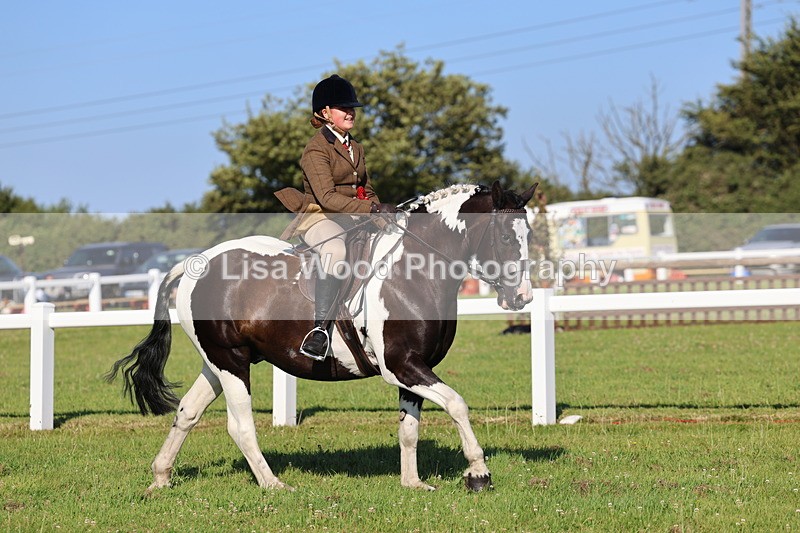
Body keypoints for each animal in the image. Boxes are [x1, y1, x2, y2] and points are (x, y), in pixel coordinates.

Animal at [108, 180, 538, 493]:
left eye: (529, 233)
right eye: (504, 237)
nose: (522, 297)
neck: (415, 270)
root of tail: (194, 264)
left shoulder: (414, 367)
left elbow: (409, 428)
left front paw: (413, 483)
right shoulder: (402, 365)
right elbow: (457, 405)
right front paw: (478, 473)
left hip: (218, 362)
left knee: (187, 412)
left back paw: (161, 477)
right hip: (231, 362)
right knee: (239, 425)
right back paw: (273, 485)